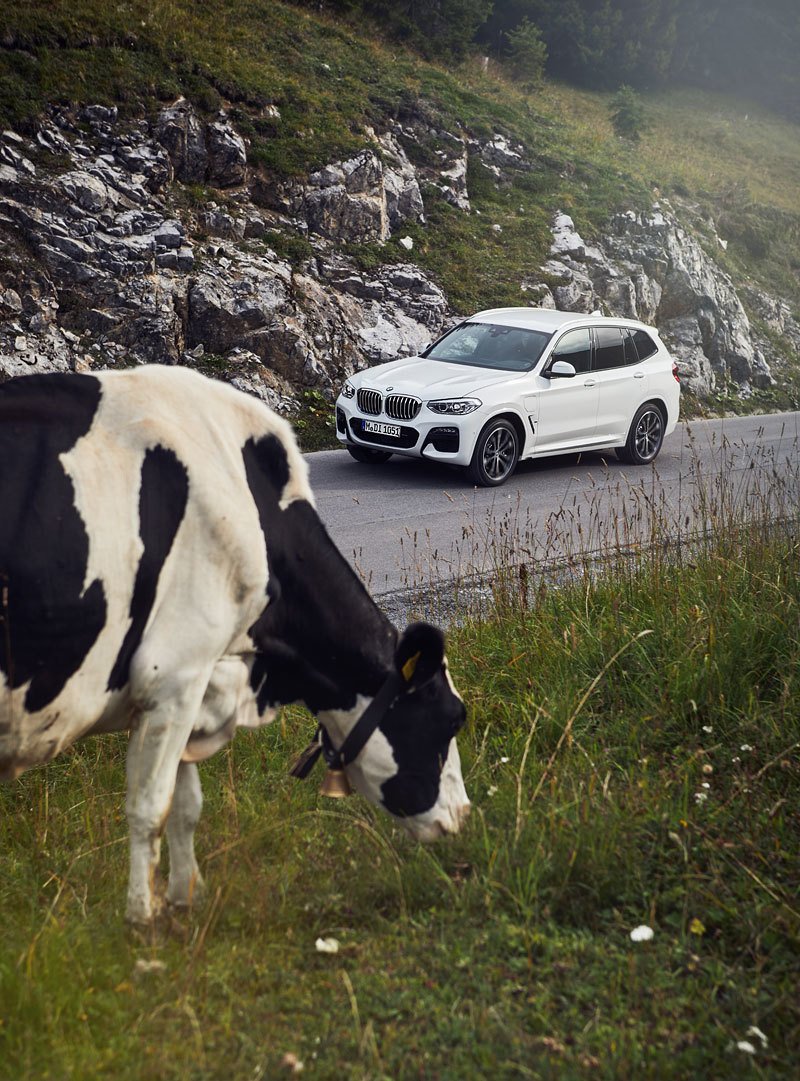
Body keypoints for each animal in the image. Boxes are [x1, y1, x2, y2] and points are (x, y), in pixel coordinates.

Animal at [0, 367, 469, 925]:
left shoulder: (194, 683)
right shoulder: (174, 675)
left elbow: (186, 806)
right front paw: (143, 920)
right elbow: (150, 807)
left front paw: (186, 899)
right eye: (452, 719)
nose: (463, 814)